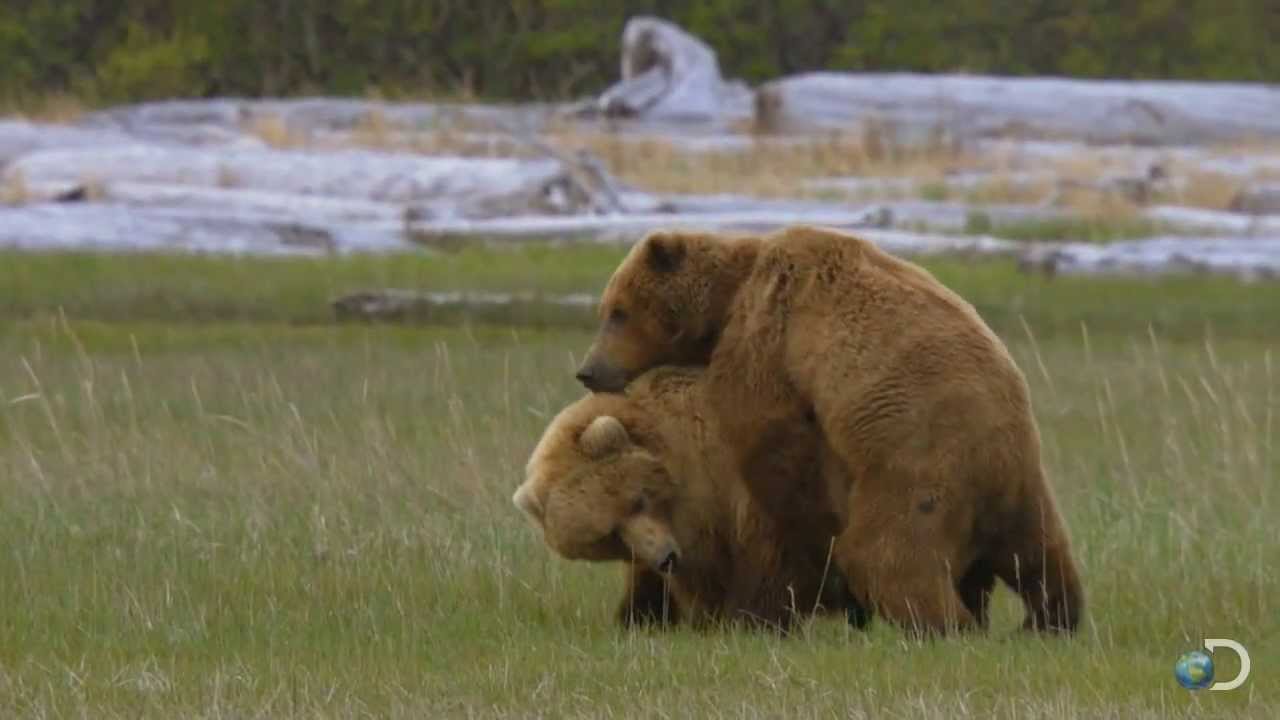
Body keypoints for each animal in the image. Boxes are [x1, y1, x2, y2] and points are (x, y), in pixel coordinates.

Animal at [509, 363, 860, 627]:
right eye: (609, 535)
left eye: (637, 500)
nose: (666, 557)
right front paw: (641, 616)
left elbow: (764, 553)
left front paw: (752, 618)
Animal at [576, 224, 1085, 632]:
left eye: (618, 312)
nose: (588, 370)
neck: (727, 297)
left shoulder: (770, 327)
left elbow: (767, 433)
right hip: (1021, 487)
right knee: (1041, 557)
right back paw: (1048, 620)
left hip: (918, 471)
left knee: (887, 557)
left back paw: (946, 624)